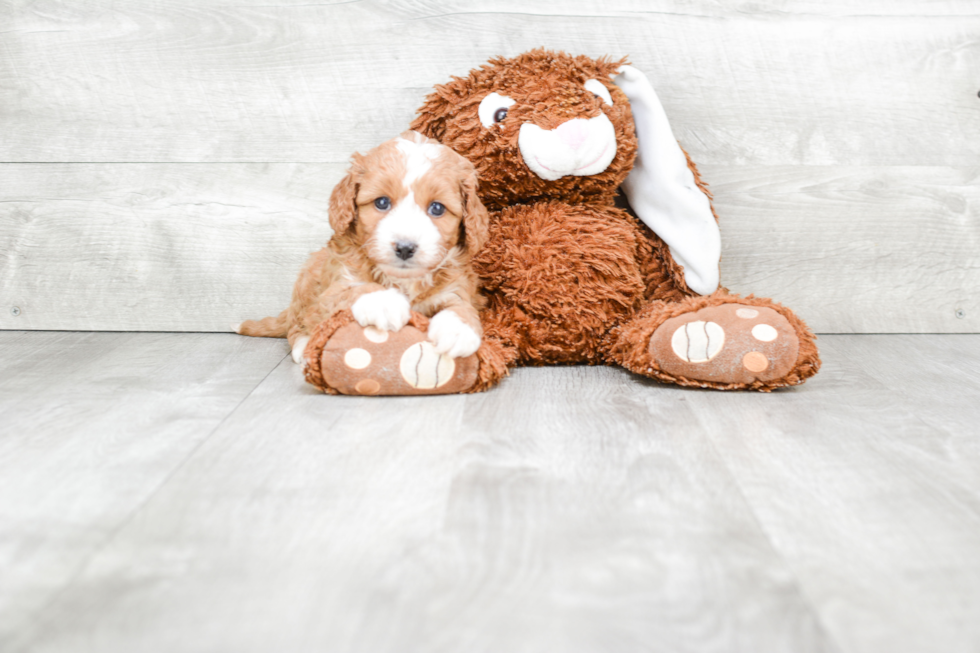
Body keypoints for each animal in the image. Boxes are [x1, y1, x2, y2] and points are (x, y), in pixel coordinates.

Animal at [237, 131, 490, 366]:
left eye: (437, 208)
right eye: (382, 202)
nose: (405, 248)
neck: (402, 280)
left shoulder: (456, 286)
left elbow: (461, 305)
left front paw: (458, 329)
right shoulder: (335, 286)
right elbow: (355, 290)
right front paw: (384, 302)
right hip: (306, 282)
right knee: (298, 323)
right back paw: (304, 345)